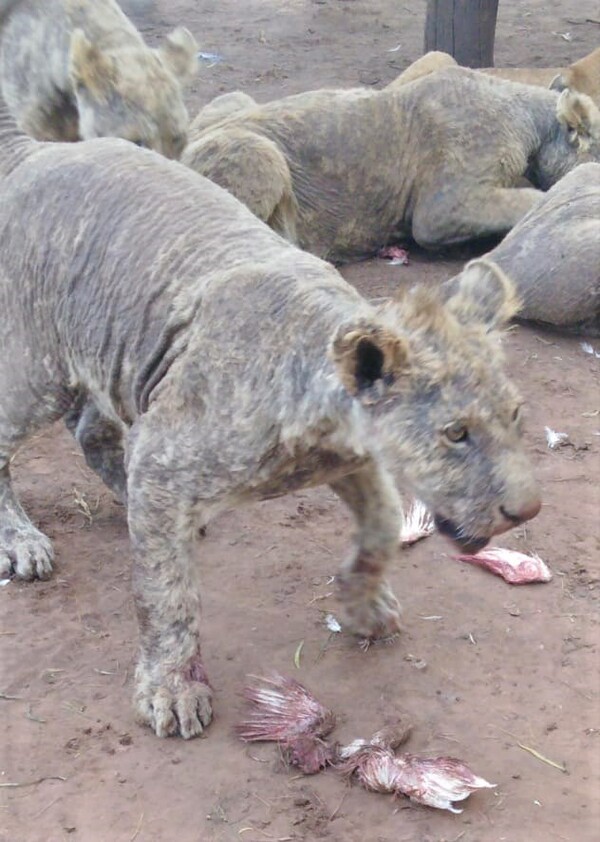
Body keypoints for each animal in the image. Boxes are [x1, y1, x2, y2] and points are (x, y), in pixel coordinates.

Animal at [0, 101, 540, 736]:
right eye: (456, 434)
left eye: (515, 415)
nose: (527, 510)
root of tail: (37, 150)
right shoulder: (165, 456)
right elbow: (167, 595)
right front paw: (171, 689)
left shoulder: (352, 462)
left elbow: (383, 526)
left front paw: (363, 605)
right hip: (36, 370)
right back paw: (22, 542)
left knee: (92, 430)